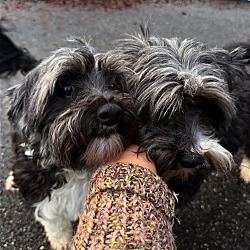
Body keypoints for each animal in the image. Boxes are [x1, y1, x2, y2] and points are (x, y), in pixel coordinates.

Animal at [4, 38, 139, 249]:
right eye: (65, 88)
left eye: (114, 84)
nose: (112, 112)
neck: (77, 168)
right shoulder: (41, 189)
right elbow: (54, 220)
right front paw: (62, 241)